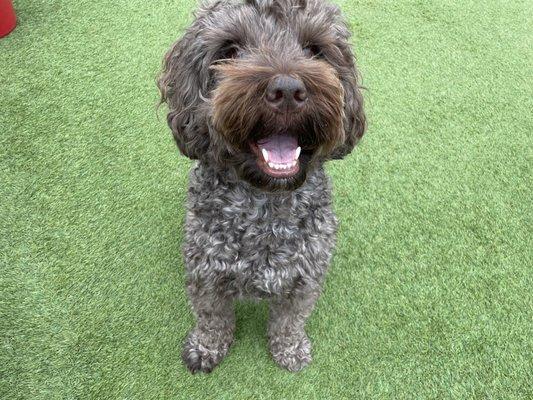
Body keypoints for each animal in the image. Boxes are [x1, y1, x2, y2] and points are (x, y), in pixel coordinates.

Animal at [158, 0, 366, 374]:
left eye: (314, 50)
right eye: (230, 50)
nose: (286, 90)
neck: (265, 206)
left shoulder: (305, 278)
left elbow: (290, 320)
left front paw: (290, 349)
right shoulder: (206, 274)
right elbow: (211, 318)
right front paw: (206, 348)